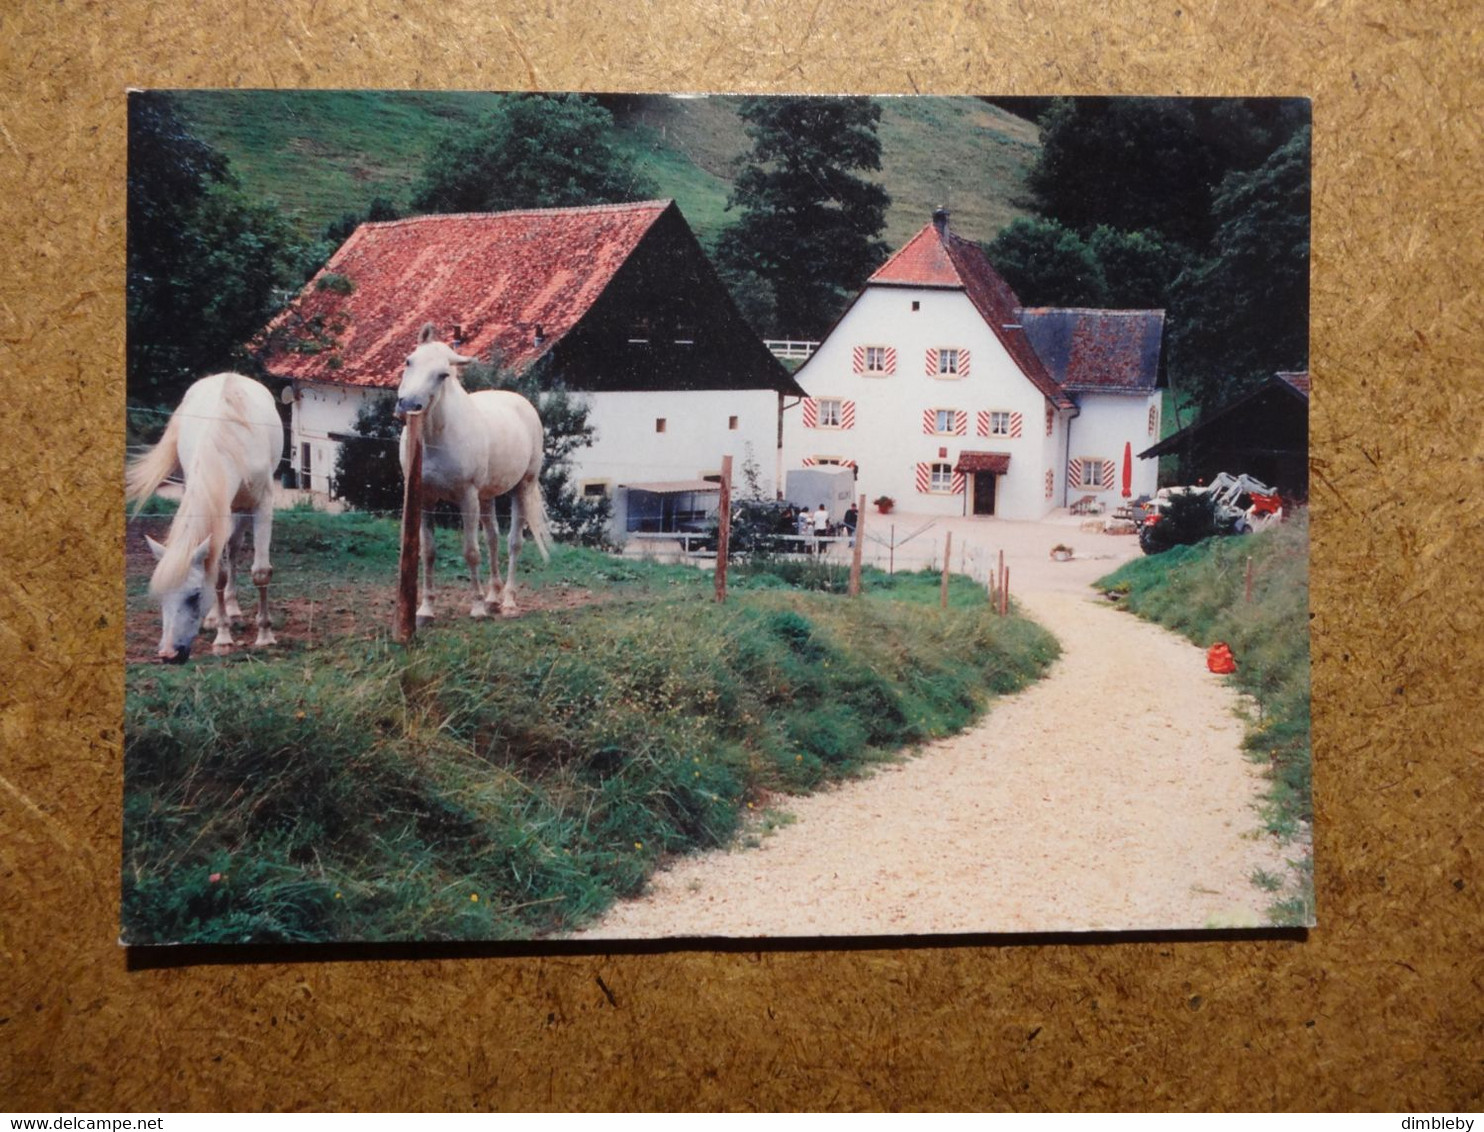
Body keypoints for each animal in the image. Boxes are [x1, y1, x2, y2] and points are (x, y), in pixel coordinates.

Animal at [126, 372, 281, 658]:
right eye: (161, 597)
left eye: (194, 595)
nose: (168, 654)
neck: (230, 442)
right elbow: (217, 574)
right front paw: (222, 636)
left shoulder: (262, 505)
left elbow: (261, 572)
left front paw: (265, 636)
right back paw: (217, 616)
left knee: (235, 548)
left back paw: (233, 611)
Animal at [397, 320, 555, 620]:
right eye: (409, 361)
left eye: (443, 374)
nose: (408, 405)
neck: (436, 439)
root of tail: (522, 403)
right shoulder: (424, 498)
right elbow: (429, 551)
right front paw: (426, 609)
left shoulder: (467, 497)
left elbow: (471, 551)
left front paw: (477, 608)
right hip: (487, 496)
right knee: (493, 538)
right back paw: (493, 597)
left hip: (521, 487)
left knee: (513, 542)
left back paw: (507, 602)